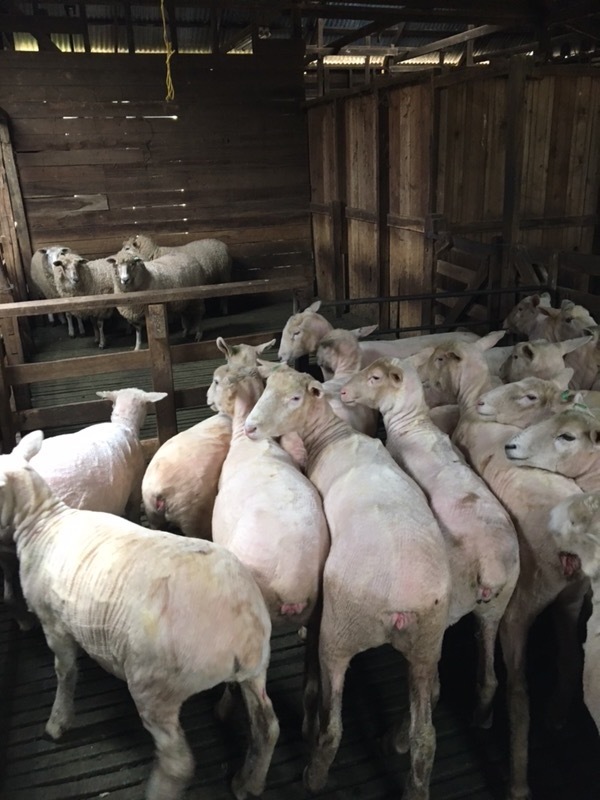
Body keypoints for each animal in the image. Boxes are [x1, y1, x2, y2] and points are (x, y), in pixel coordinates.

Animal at [0, 430, 279, 800]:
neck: (42, 521)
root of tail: (242, 633)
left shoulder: (54, 624)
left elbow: (65, 672)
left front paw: (58, 721)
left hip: (155, 684)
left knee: (179, 762)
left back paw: (161, 789)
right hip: (255, 671)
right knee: (267, 726)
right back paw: (250, 782)